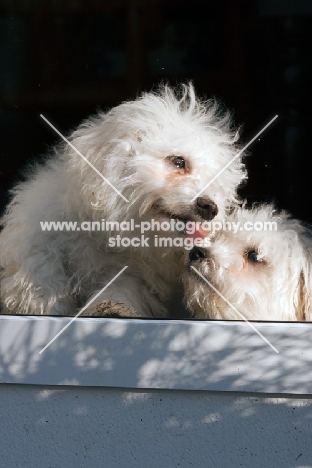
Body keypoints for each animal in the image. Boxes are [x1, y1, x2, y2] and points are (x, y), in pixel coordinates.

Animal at [0, 84, 246, 318]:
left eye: (218, 184)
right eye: (178, 161)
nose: (210, 208)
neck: (107, 234)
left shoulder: (129, 274)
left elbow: (118, 292)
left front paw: (110, 309)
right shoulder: (38, 244)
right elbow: (43, 280)